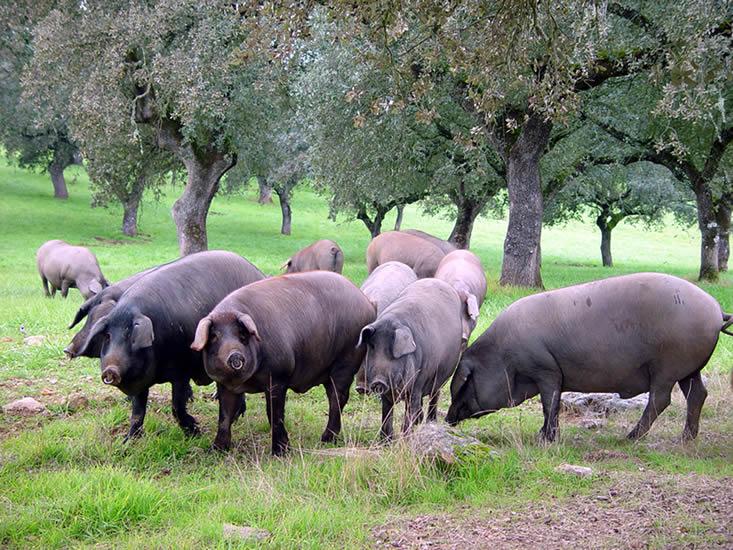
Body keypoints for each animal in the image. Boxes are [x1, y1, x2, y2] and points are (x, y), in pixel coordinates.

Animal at [73, 251, 265, 440]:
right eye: (108, 336)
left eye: (131, 336)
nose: (110, 370)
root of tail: (259, 272)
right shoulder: (142, 378)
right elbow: (137, 411)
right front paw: (128, 441)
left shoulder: (182, 371)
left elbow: (177, 406)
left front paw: (195, 433)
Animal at [190, 271, 376, 455]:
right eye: (214, 336)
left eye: (242, 334)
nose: (235, 355)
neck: (243, 382)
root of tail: (367, 302)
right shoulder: (224, 385)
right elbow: (224, 415)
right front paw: (215, 450)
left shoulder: (278, 377)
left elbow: (274, 413)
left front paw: (280, 452)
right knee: (334, 396)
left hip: (347, 360)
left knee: (338, 398)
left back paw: (325, 440)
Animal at [357, 278, 464, 440]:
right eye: (371, 347)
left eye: (392, 351)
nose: (378, 381)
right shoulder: (388, 394)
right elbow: (387, 412)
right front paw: (385, 441)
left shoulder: (418, 383)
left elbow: (410, 410)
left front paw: (405, 439)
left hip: (440, 375)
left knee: (434, 396)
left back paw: (430, 422)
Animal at [446, 273, 733, 442]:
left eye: (464, 383)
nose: (447, 419)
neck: (504, 357)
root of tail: (716, 310)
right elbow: (553, 405)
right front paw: (543, 435)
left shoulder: (545, 369)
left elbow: (549, 403)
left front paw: (544, 439)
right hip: (688, 368)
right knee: (698, 394)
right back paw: (686, 438)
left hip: (667, 366)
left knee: (661, 400)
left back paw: (630, 438)